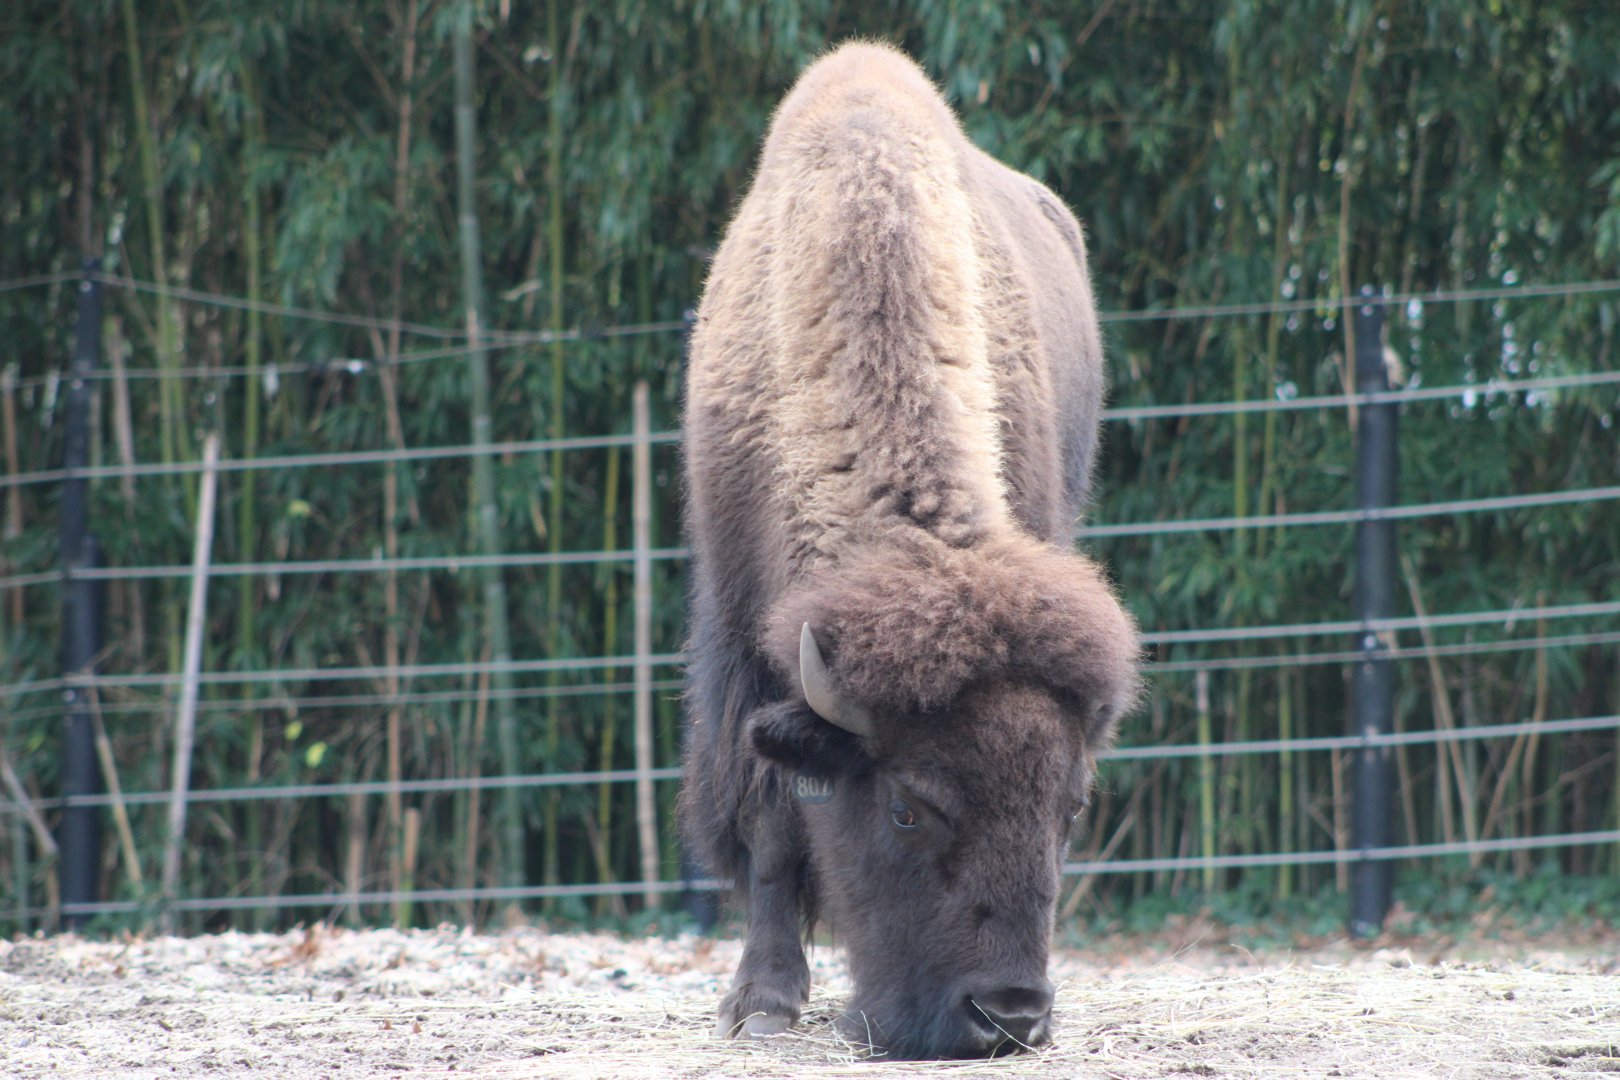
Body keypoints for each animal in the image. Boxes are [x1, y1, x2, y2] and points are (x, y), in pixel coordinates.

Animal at [679, 41, 1140, 1059]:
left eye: (1070, 809)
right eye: (906, 807)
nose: (1009, 1016)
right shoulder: (744, 633)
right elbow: (772, 817)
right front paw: (763, 1002)